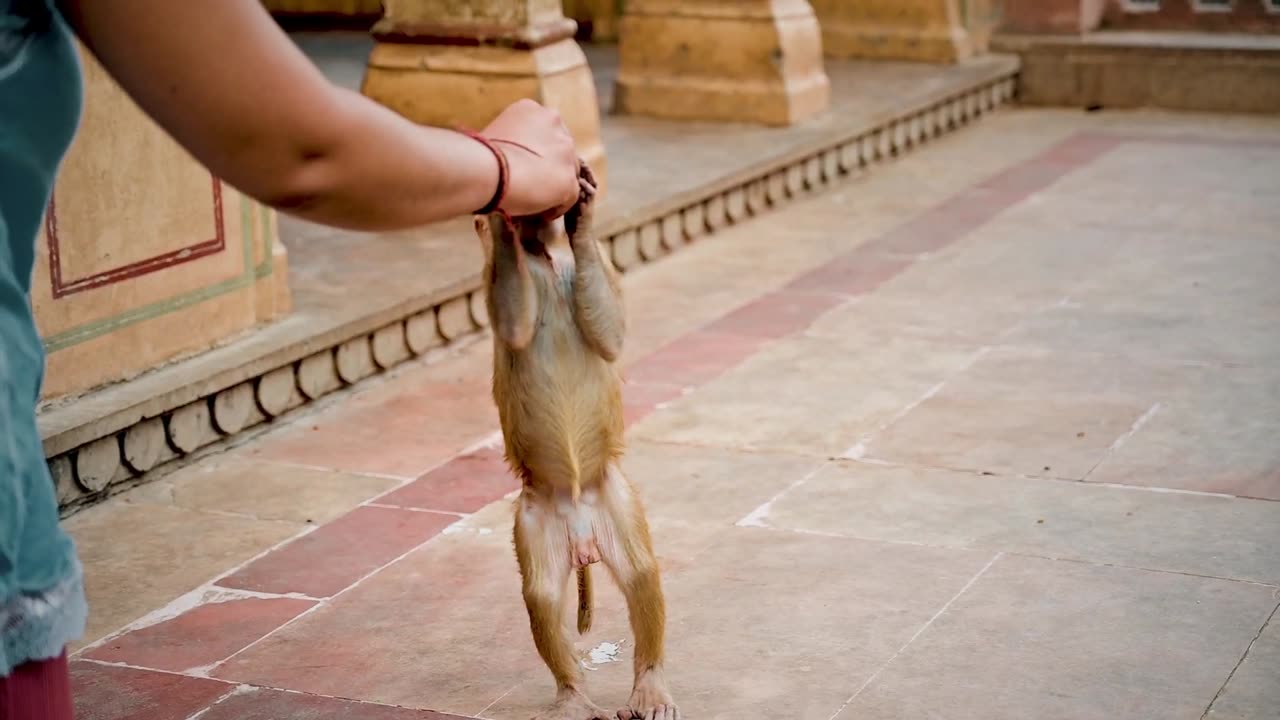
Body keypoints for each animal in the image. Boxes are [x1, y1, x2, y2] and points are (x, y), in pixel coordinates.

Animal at [476, 162, 680, 717]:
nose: (541, 220)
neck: (546, 256)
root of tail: (581, 532)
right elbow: (515, 326)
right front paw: (501, 221)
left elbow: (609, 334)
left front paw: (581, 220)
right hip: (536, 521)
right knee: (542, 595)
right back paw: (572, 694)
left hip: (614, 501)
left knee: (640, 574)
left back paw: (649, 683)